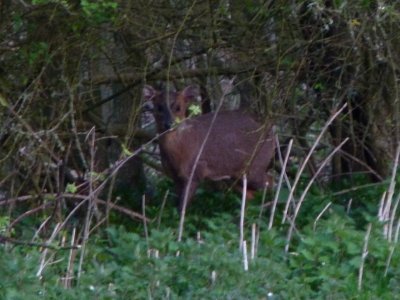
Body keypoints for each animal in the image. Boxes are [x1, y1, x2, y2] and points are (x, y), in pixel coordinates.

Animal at [144, 84, 276, 211]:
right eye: (159, 107)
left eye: (178, 107)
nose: (169, 124)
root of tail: (271, 133)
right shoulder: (175, 177)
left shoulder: (195, 171)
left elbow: (182, 208)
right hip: (238, 175)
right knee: (251, 194)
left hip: (256, 164)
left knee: (270, 181)